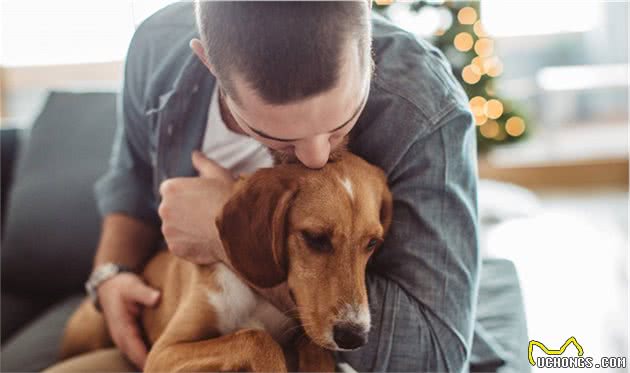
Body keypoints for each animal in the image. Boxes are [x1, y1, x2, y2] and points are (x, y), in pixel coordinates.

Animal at [60, 150, 396, 370]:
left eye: (372, 243)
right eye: (315, 238)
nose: (354, 337)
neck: (257, 296)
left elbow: (310, 346)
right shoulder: (163, 353)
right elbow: (257, 339)